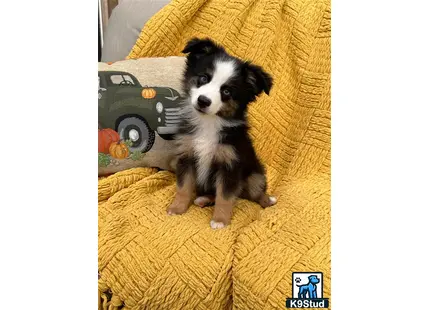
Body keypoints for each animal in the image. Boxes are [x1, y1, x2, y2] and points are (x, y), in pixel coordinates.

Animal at [166, 37, 278, 229]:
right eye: (203, 78)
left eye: (226, 91)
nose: (203, 101)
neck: (209, 123)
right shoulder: (186, 156)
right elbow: (183, 187)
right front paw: (177, 208)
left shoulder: (230, 164)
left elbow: (225, 197)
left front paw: (220, 220)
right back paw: (203, 199)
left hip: (255, 174)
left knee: (256, 193)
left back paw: (268, 200)